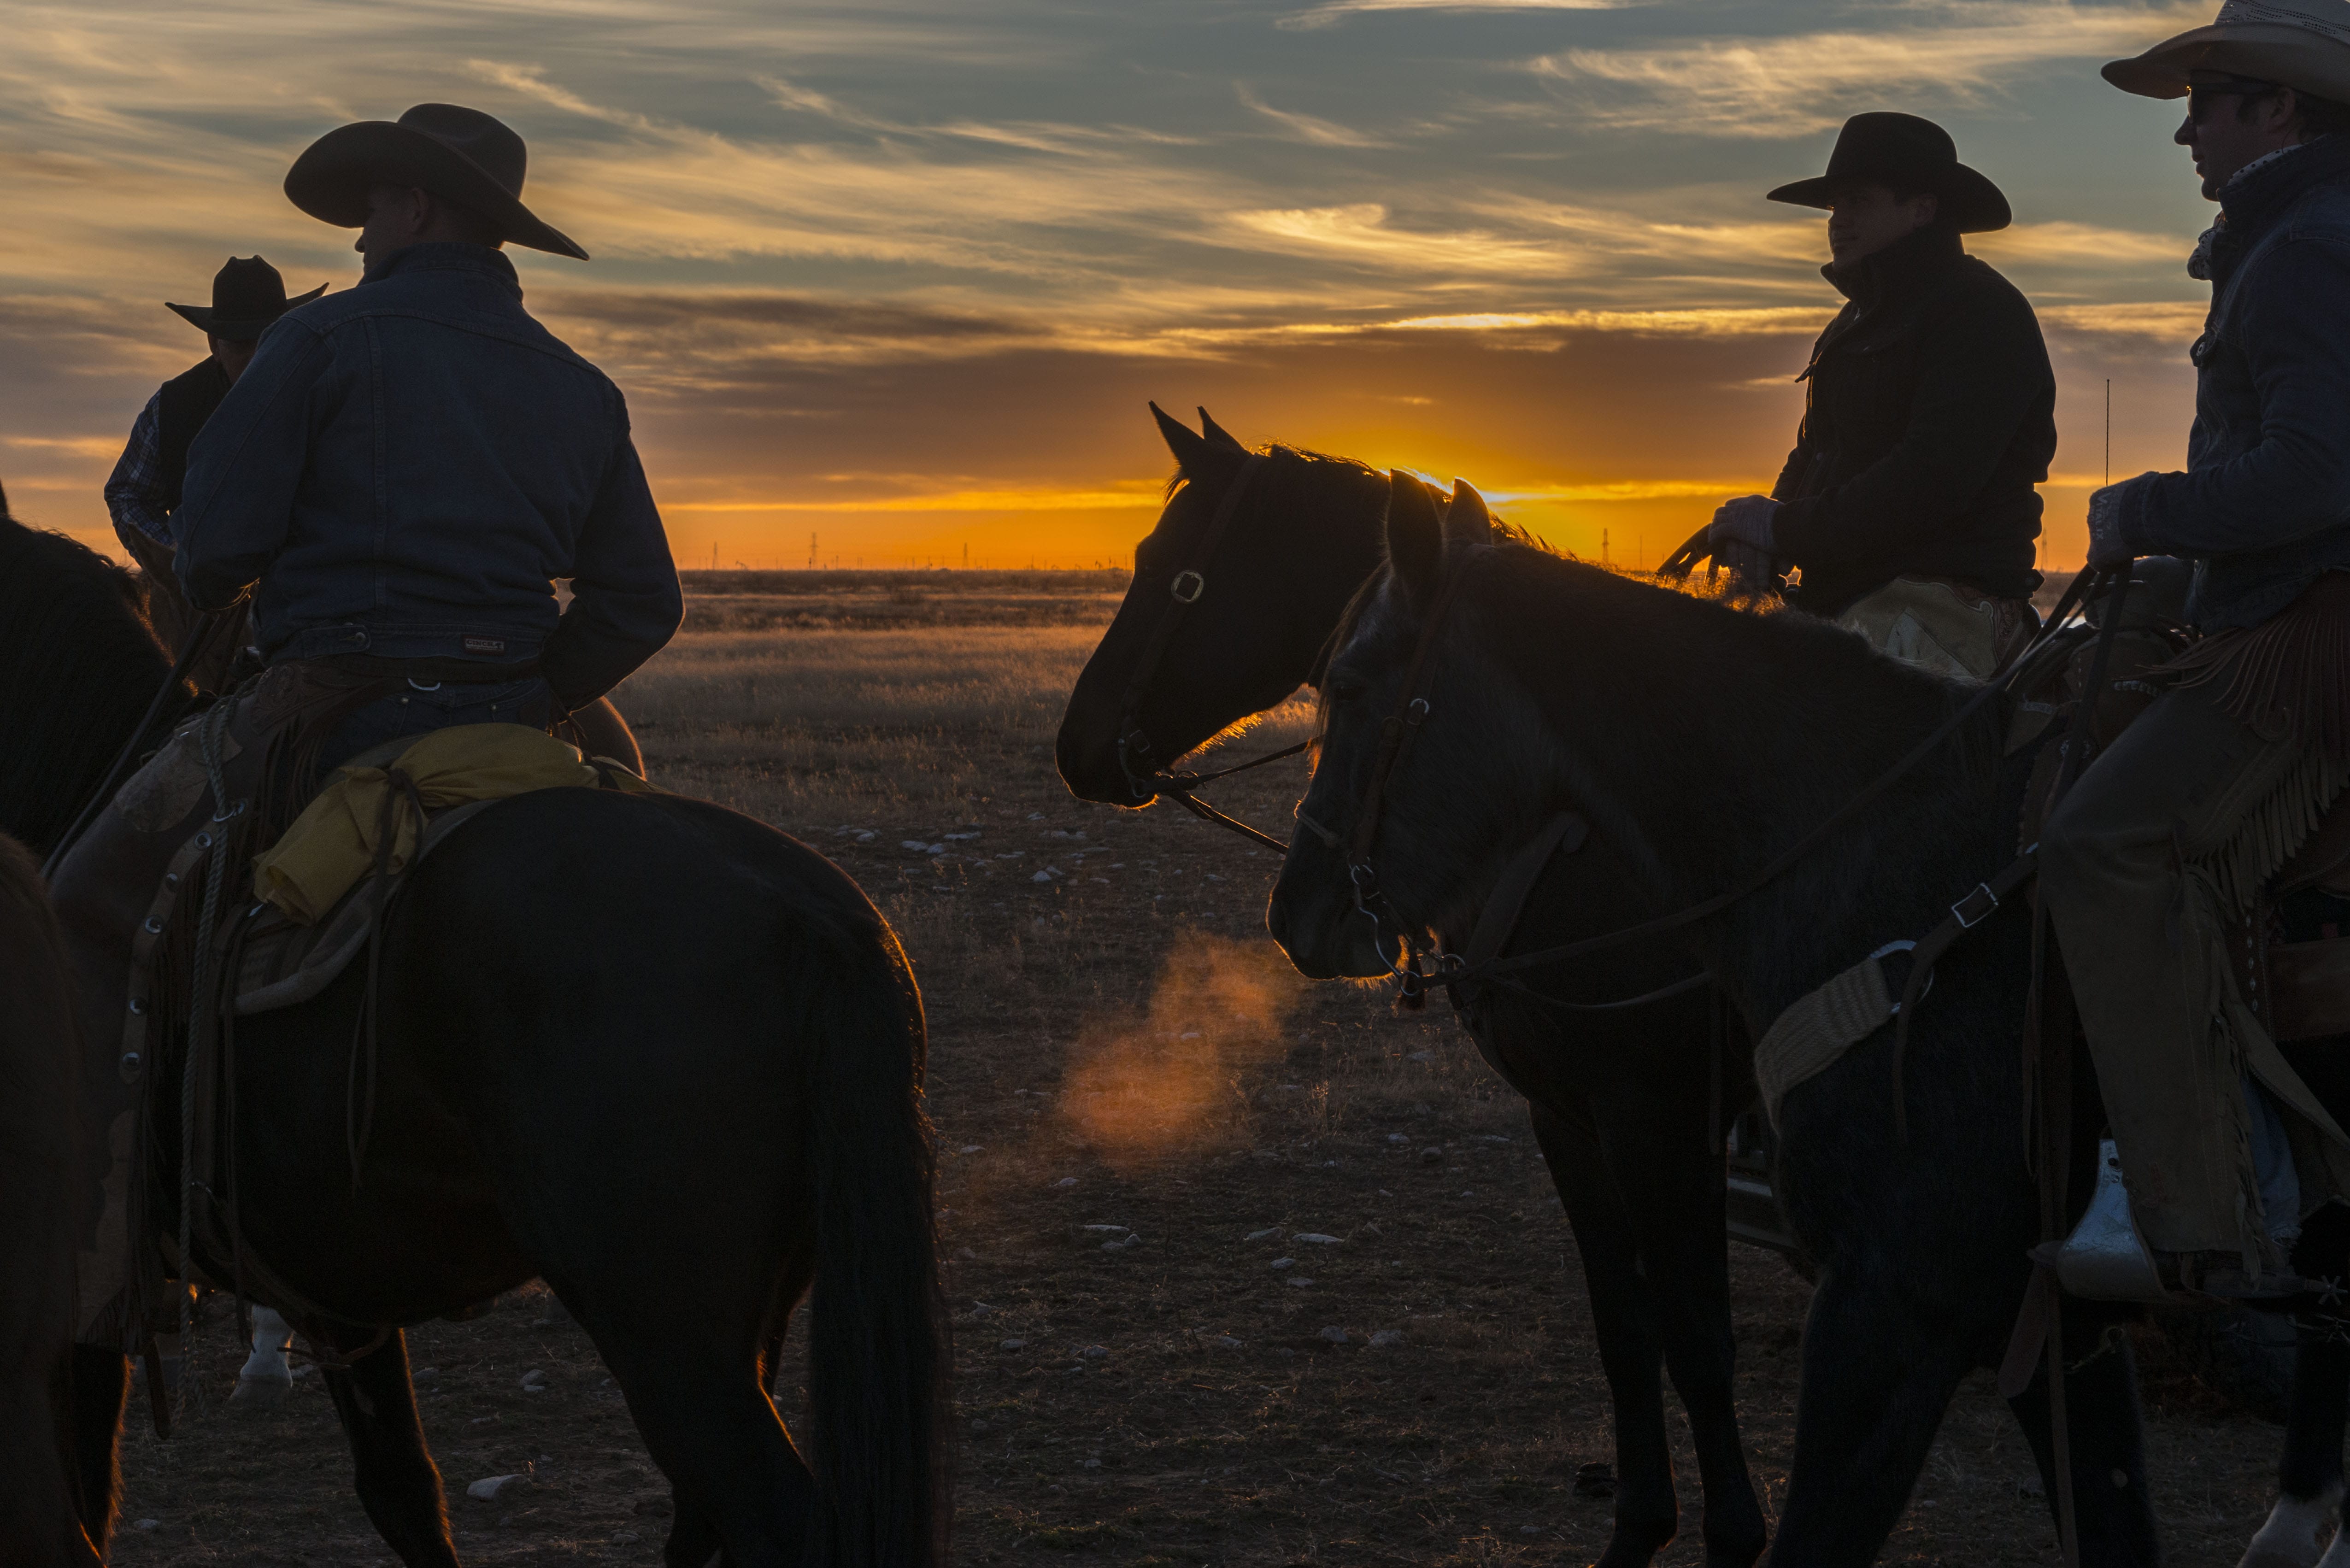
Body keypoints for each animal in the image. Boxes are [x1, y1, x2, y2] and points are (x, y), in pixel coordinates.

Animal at [0, 517, 945, 1568]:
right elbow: (404, 1488)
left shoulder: (85, 1304)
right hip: (761, 1311)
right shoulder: (340, 1278)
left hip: (672, 1339)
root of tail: (811, 918)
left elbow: (84, 1506)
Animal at [1062, 411, 1767, 1561]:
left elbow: (1700, 1339)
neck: (1566, 826)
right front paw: (1639, 1525)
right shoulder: (1570, 1118)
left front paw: (1736, 1533)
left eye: (1172, 572)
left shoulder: (1664, 1115)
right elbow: (1627, 1329)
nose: (1075, 747)